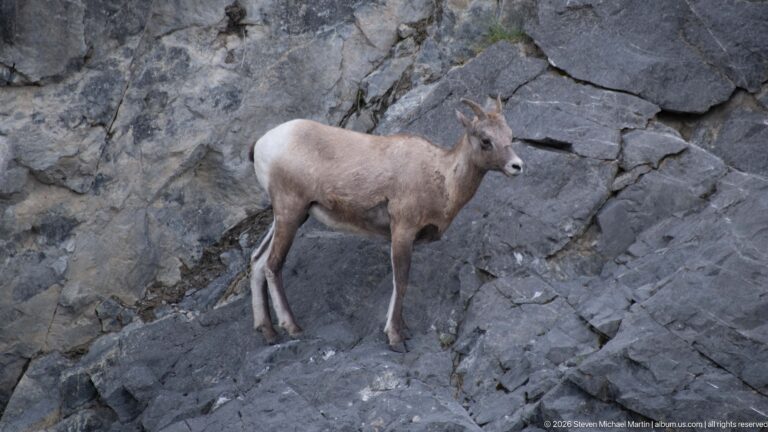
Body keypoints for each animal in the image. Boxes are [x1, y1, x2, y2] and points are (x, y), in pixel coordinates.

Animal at [248, 97, 523, 352]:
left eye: (510, 135)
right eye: (485, 140)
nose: (517, 166)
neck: (441, 177)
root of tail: (263, 144)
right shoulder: (402, 232)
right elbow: (400, 282)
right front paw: (395, 338)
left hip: (290, 216)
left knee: (257, 260)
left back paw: (268, 332)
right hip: (290, 211)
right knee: (272, 264)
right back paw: (292, 328)